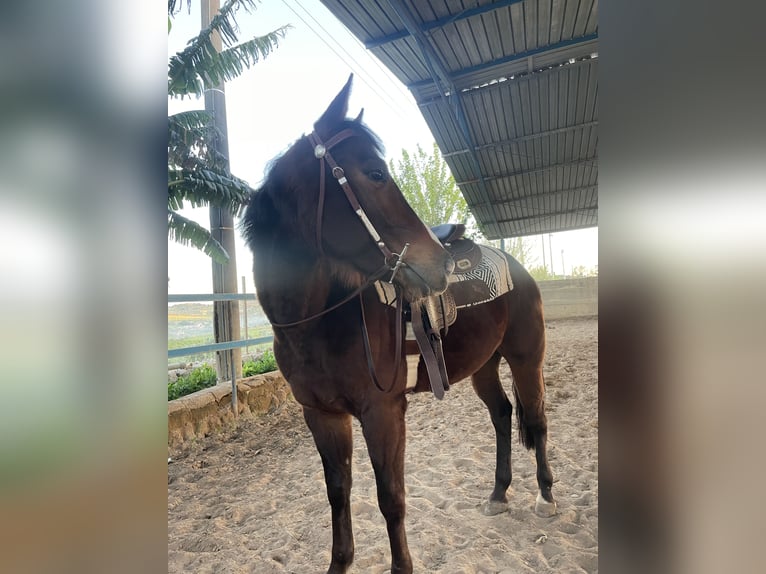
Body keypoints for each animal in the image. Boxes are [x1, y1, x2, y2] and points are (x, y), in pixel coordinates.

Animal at [243, 76, 556, 574]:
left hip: (527, 359)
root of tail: (516, 266)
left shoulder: (384, 412)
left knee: (538, 419)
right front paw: (340, 563)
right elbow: (338, 493)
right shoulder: (323, 416)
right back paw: (498, 493)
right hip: (484, 366)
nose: (440, 264)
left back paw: (545, 496)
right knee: (503, 414)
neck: (319, 323)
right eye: (374, 173)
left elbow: (391, 497)